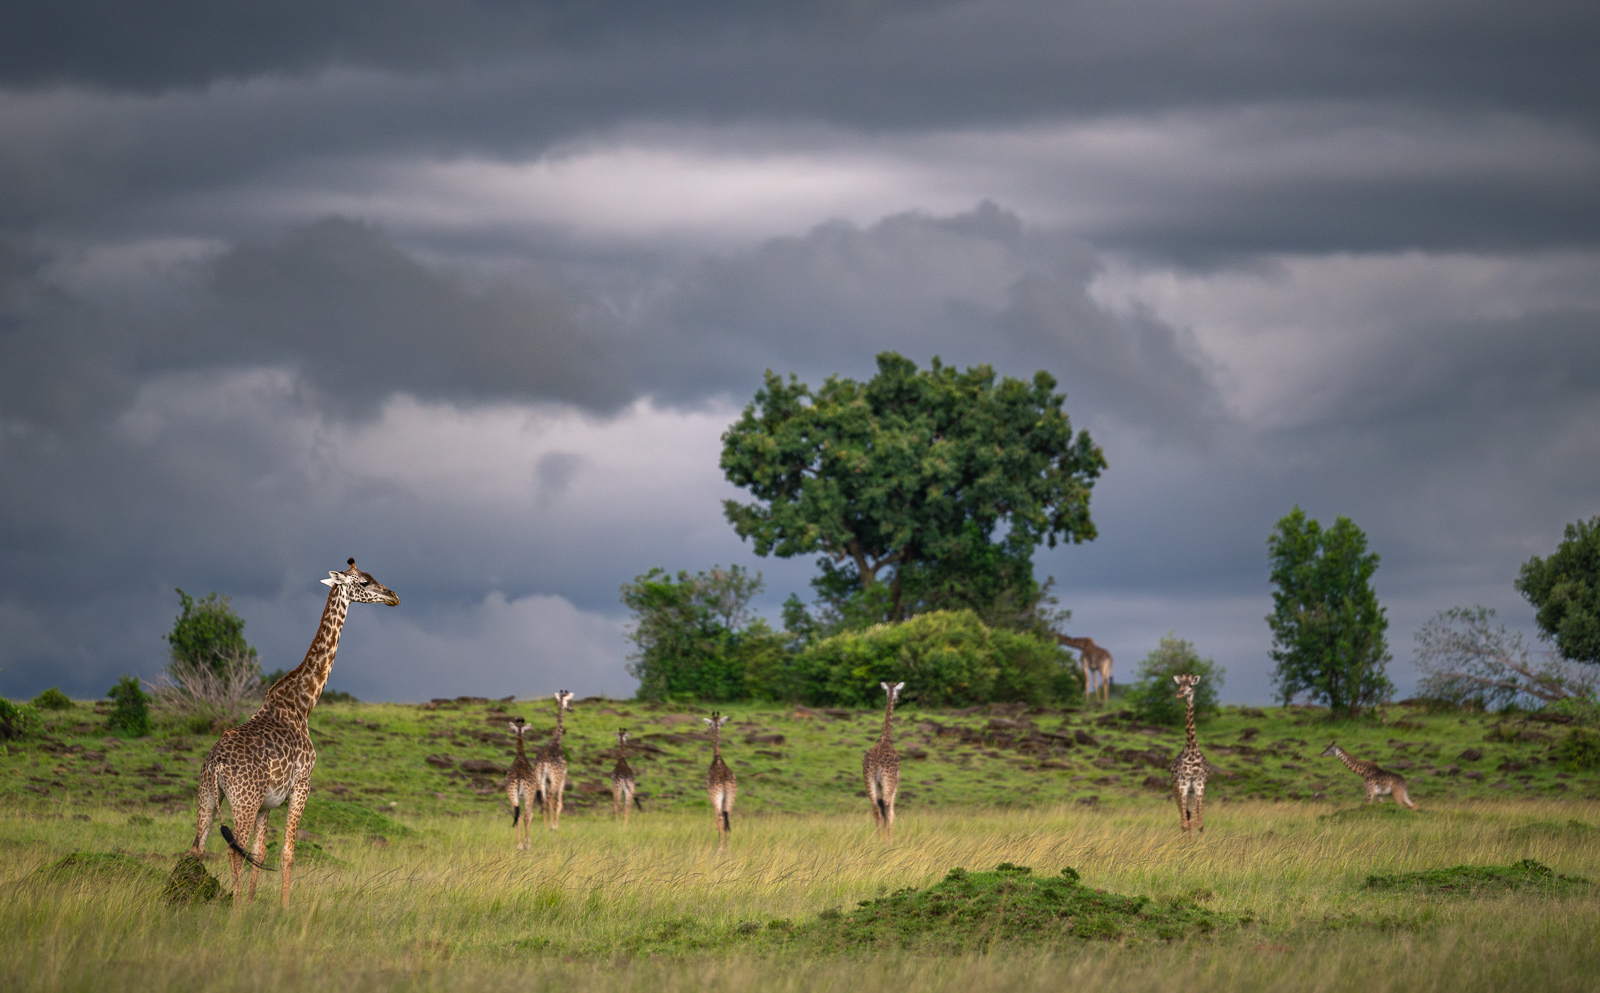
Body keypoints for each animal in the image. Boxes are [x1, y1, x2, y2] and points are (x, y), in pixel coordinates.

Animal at [190, 558, 398, 907]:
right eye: (365, 582)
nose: (393, 596)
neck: (304, 702)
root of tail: (216, 763)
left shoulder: (268, 802)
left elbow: (260, 852)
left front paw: (253, 903)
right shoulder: (302, 784)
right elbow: (287, 852)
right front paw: (283, 908)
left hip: (207, 794)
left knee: (197, 848)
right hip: (243, 801)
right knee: (233, 850)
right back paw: (232, 910)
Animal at [531, 691, 574, 830]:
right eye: (568, 701)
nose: (571, 708)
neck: (556, 741)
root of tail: (543, 763)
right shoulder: (563, 777)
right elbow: (559, 802)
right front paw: (556, 825)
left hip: (540, 779)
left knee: (543, 799)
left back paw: (545, 826)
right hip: (555, 778)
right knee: (550, 796)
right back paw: (552, 826)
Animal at [862, 681, 904, 841]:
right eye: (898, 692)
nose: (897, 699)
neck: (885, 737)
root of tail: (875, 765)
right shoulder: (896, 783)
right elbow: (891, 811)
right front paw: (891, 839)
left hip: (868, 780)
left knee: (875, 807)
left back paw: (876, 839)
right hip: (889, 781)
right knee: (886, 807)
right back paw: (886, 839)